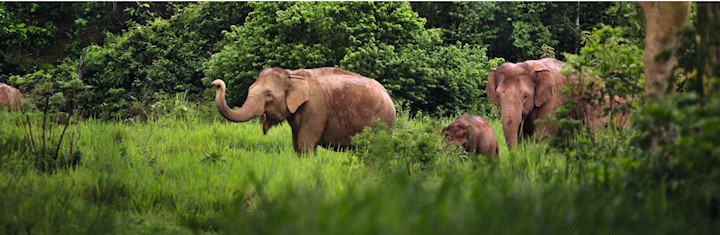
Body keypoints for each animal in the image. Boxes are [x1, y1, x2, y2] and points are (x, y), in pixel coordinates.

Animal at [211, 66, 396, 154]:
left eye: (268, 94)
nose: (215, 83)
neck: (292, 75)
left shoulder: (315, 108)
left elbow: (306, 144)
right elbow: (297, 145)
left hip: (382, 123)